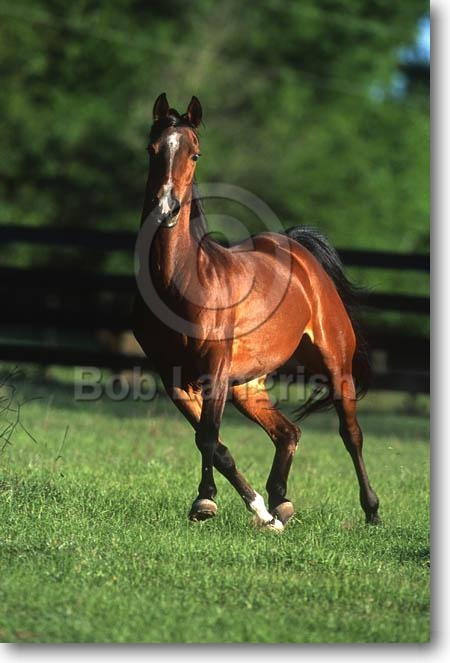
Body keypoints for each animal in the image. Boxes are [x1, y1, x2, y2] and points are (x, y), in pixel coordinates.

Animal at [132, 93, 379, 531]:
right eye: (152, 149)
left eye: (195, 153)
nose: (167, 209)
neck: (184, 281)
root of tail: (298, 250)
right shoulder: (173, 377)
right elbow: (216, 445)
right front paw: (259, 510)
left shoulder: (214, 371)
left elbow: (208, 437)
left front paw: (205, 501)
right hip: (248, 386)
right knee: (288, 432)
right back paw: (280, 504)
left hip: (336, 363)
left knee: (351, 433)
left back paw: (371, 511)